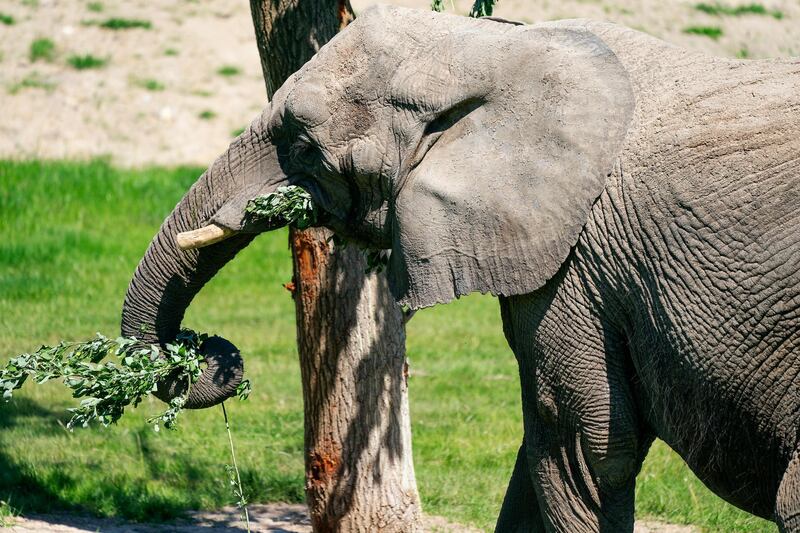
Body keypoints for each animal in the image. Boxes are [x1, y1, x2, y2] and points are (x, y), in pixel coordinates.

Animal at [120, 5, 800, 532]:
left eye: (304, 146)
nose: (208, 353)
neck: (499, 46)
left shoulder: (575, 265)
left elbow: (581, 452)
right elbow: (540, 459)